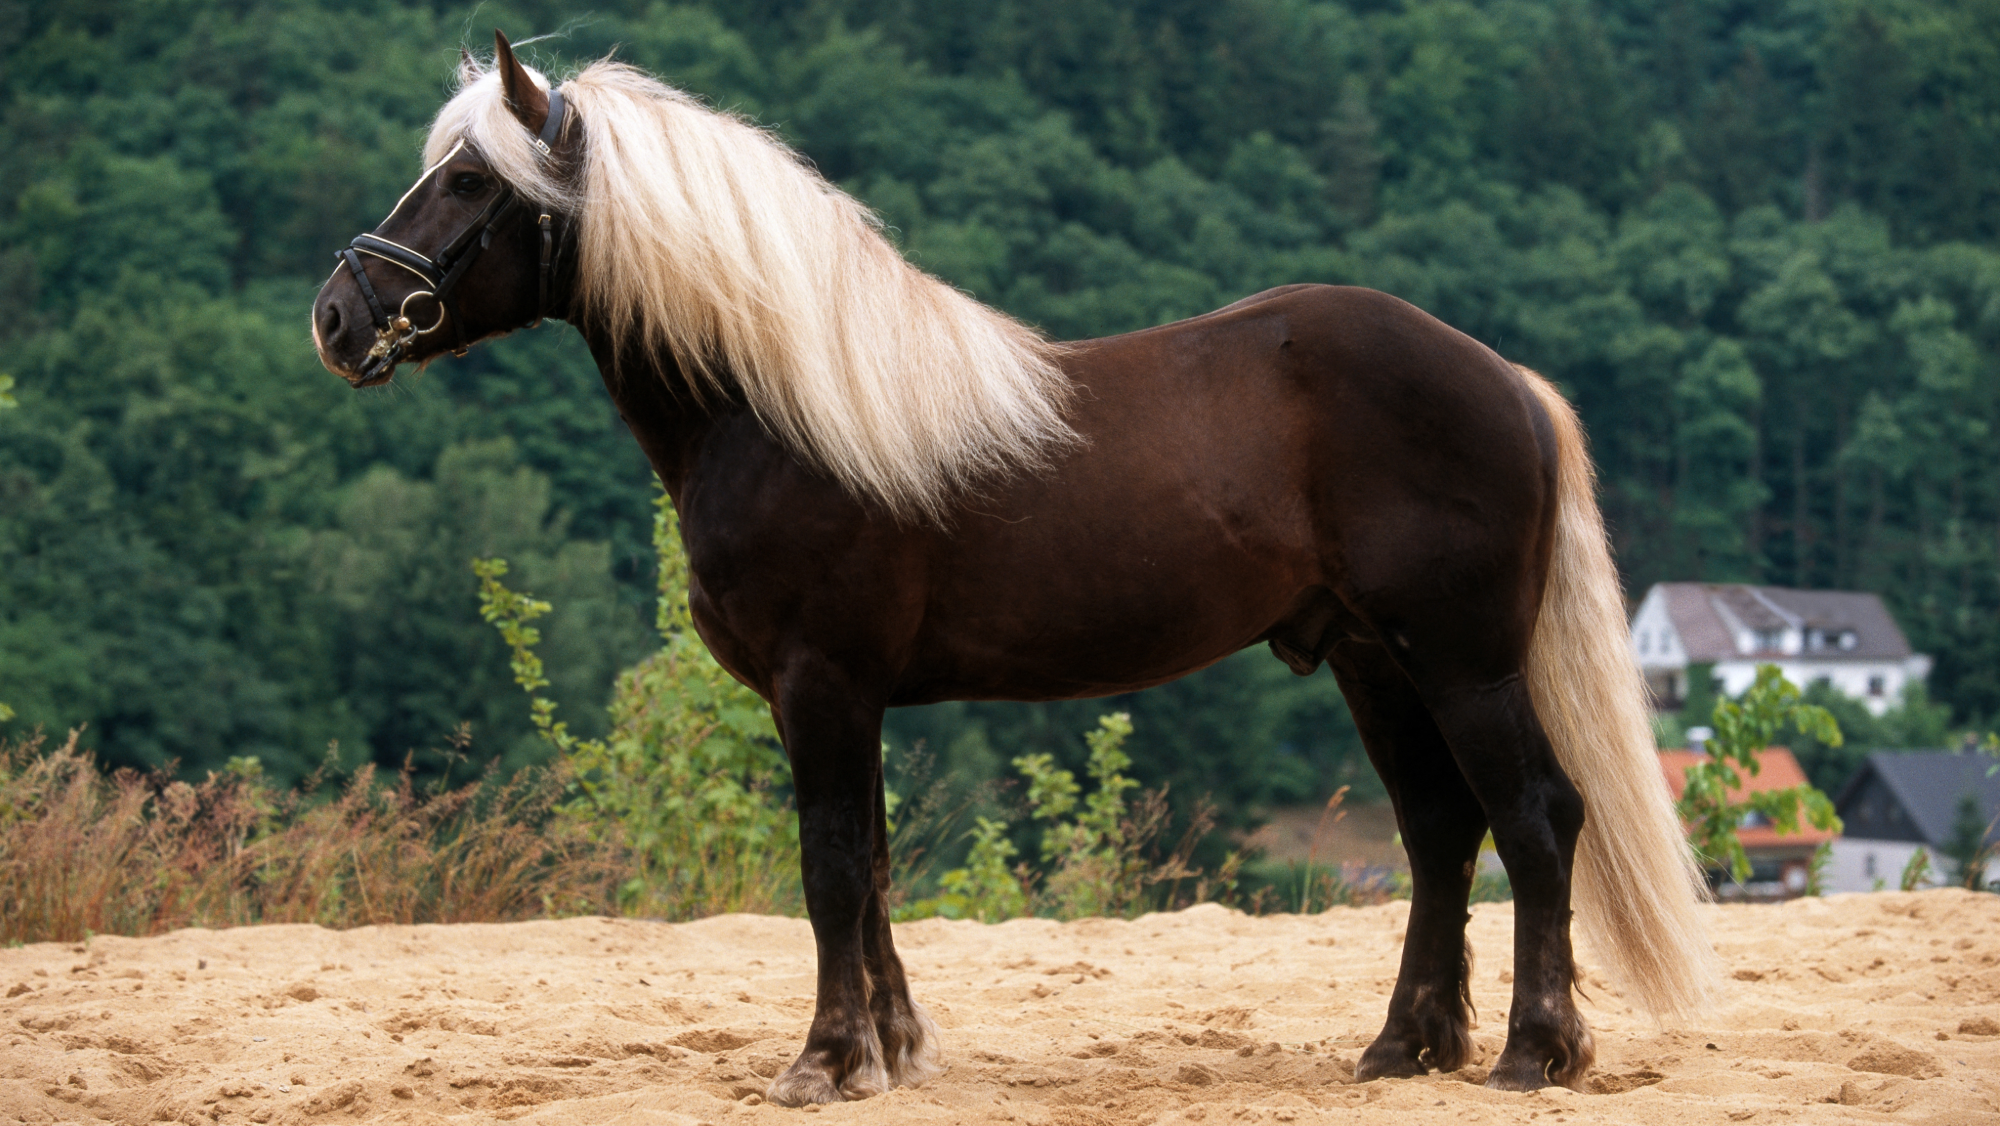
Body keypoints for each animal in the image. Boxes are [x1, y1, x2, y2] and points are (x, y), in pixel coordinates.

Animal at [312, 32, 1718, 1104]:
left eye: (466, 184)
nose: (337, 316)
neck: (780, 408)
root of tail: (1505, 379)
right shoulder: (848, 698)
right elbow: (873, 866)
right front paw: (890, 1051)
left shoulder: (822, 685)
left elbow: (830, 867)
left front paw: (823, 1062)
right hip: (1375, 665)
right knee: (1438, 834)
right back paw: (1404, 1047)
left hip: (1462, 663)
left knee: (1534, 818)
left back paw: (1533, 1053)